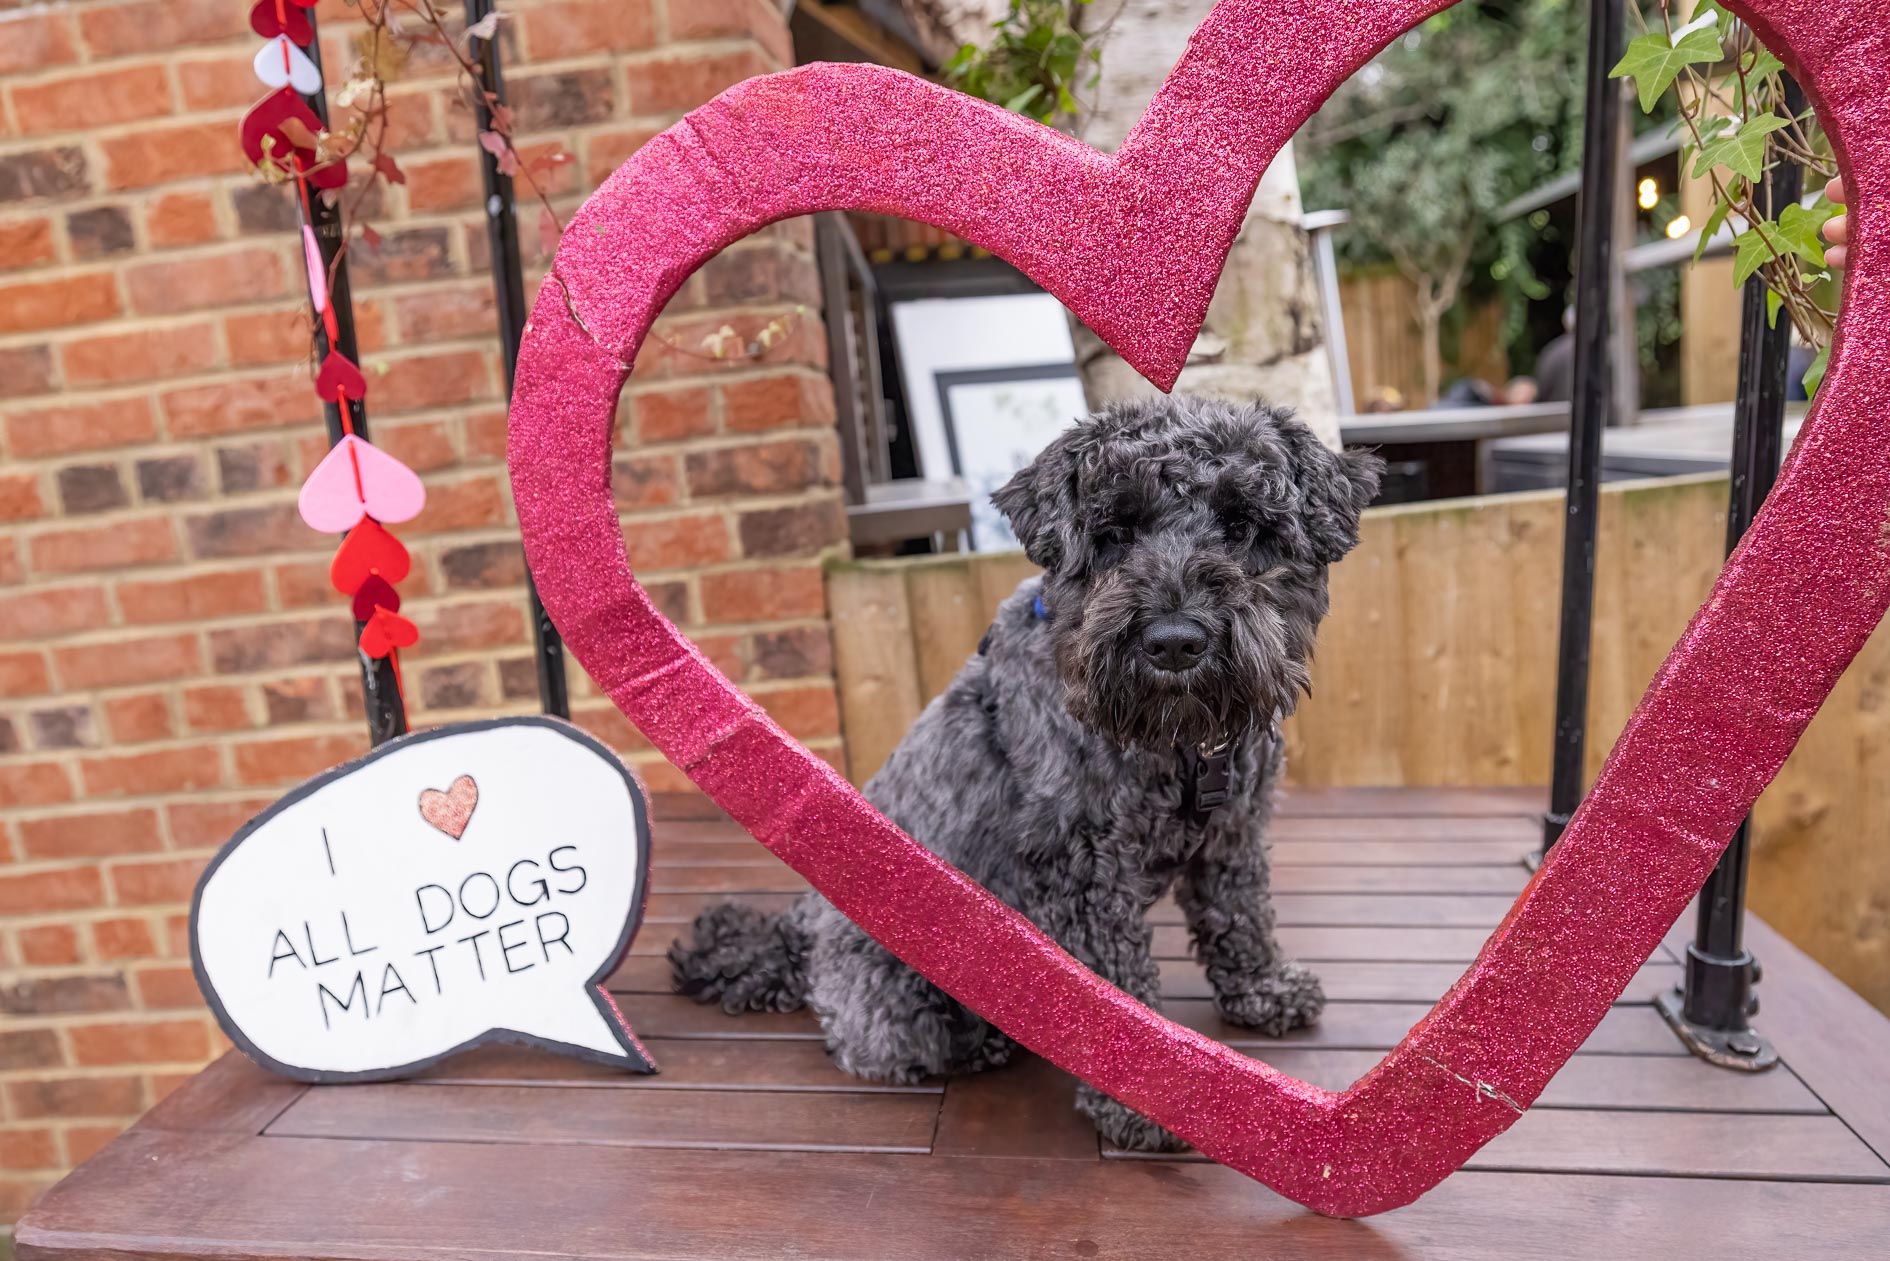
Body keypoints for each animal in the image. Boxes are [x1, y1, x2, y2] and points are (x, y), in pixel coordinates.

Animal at [671, 395, 1381, 1150]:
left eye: (1244, 525)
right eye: (1113, 531)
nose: (1174, 642)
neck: (1177, 745)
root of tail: (800, 930)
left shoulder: (1234, 832)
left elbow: (1240, 913)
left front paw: (1264, 991)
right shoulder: (1082, 869)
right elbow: (1117, 990)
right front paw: (1141, 1106)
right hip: (900, 984)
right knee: (876, 1039)